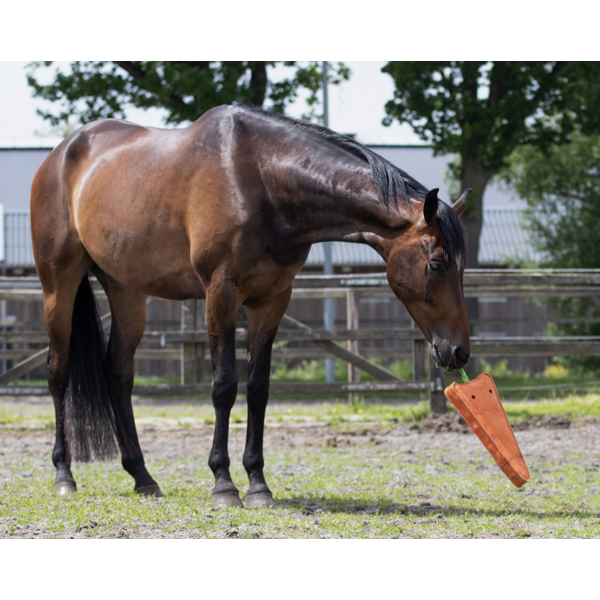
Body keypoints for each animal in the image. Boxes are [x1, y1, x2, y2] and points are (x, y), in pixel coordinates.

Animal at [31, 106, 474, 506]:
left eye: (463, 266)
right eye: (436, 264)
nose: (458, 351)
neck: (261, 181)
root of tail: (60, 154)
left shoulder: (271, 300)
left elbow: (258, 389)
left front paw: (258, 483)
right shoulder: (221, 295)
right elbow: (224, 387)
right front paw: (223, 483)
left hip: (126, 292)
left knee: (119, 376)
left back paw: (142, 477)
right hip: (59, 286)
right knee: (58, 372)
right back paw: (64, 475)